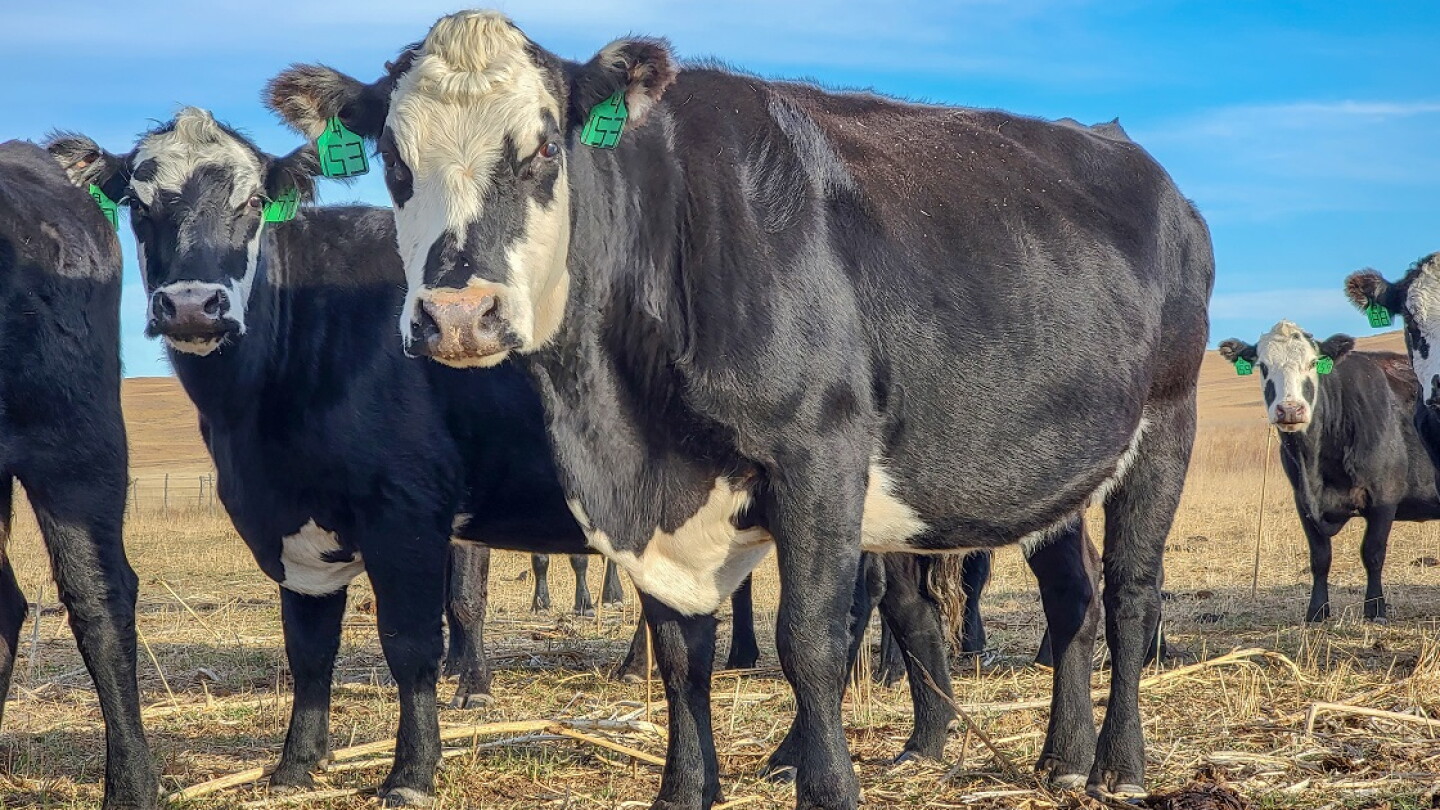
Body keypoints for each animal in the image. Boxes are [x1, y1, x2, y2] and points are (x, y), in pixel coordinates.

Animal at [47, 111, 960, 805]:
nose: (192, 305)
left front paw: (411, 771)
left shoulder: (406, 510)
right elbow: (308, 646)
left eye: (250, 203)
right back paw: (913, 741)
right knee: (905, 609)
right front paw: (295, 765)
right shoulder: (296, 525)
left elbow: (415, 640)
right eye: (139, 202)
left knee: (865, 615)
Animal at [264, 11, 1213, 807]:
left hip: (1167, 420)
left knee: (1129, 595)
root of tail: (1149, 170)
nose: (458, 315)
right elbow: (682, 652)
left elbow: (809, 641)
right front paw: (685, 790)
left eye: (541, 150)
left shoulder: (819, 456)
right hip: (1057, 469)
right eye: (394, 162)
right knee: (1072, 599)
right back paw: (1063, 760)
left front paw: (827, 786)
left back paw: (1122, 766)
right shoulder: (658, 509)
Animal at [1218, 320, 1440, 623]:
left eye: (1313, 363)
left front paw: (1375, 609)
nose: (1290, 409)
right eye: (1263, 366)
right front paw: (1317, 611)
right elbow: (1320, 557)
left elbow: (1372, 553)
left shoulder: (1385, 496)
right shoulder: (1302, 501)